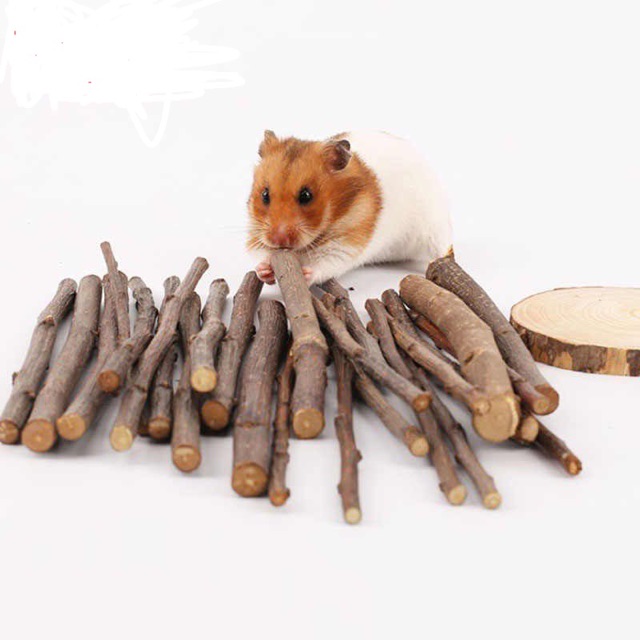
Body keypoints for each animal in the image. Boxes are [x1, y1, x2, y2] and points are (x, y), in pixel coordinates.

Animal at [247, 130, 453, 284]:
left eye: (306, 196)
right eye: (265, 195)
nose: (278, 239)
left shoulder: (347, 244)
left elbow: (327, 264)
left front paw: (305, 274)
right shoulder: (257, 233)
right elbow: (260, 254)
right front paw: (264, 270)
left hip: (434, 230)